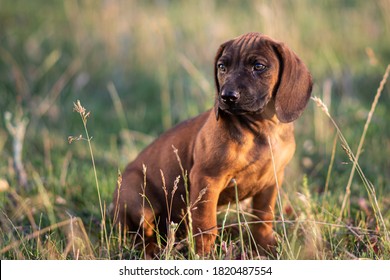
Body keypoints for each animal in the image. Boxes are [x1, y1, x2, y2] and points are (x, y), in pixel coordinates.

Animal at [111, 32, 312, 256]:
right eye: (222, 66)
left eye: (259, 66)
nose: (227, 96)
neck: (261, 128)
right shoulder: (207, 179)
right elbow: (206, 226)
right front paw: (204, 255)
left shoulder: (271, 181)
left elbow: (263, 218)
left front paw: (265, 247)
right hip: (139, 199)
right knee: (139, 236)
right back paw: (153, 251)